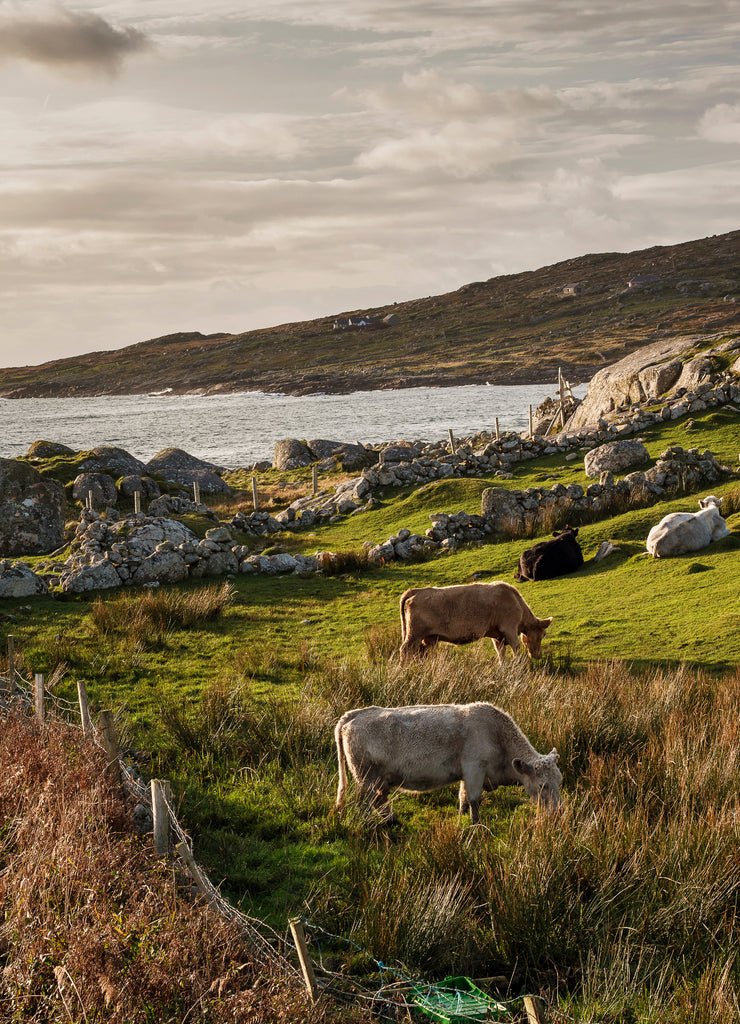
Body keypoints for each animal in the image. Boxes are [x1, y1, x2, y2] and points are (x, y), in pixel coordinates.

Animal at [334, 701, 562, 823]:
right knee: (366, 803)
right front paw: (475, 824)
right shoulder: (475, 769)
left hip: (376, 780)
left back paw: (392, 821)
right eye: (542, 785)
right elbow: (474, 799)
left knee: (380, 800)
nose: (560, 812)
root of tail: (353, 715)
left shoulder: (466, 773)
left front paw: (462, 817)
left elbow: (463, 797)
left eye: (560, 782)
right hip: (365, 777)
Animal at [399, 581, 552, 662]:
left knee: (419, 651)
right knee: (405, 649)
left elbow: (500, 651)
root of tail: (416, 591)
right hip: (414, 633)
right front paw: (517, 664)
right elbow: (516, 646)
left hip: (425, 637)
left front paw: (503, 666)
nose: (537, 655)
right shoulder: (509, 628)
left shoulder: (498, 635)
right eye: (543, 635)